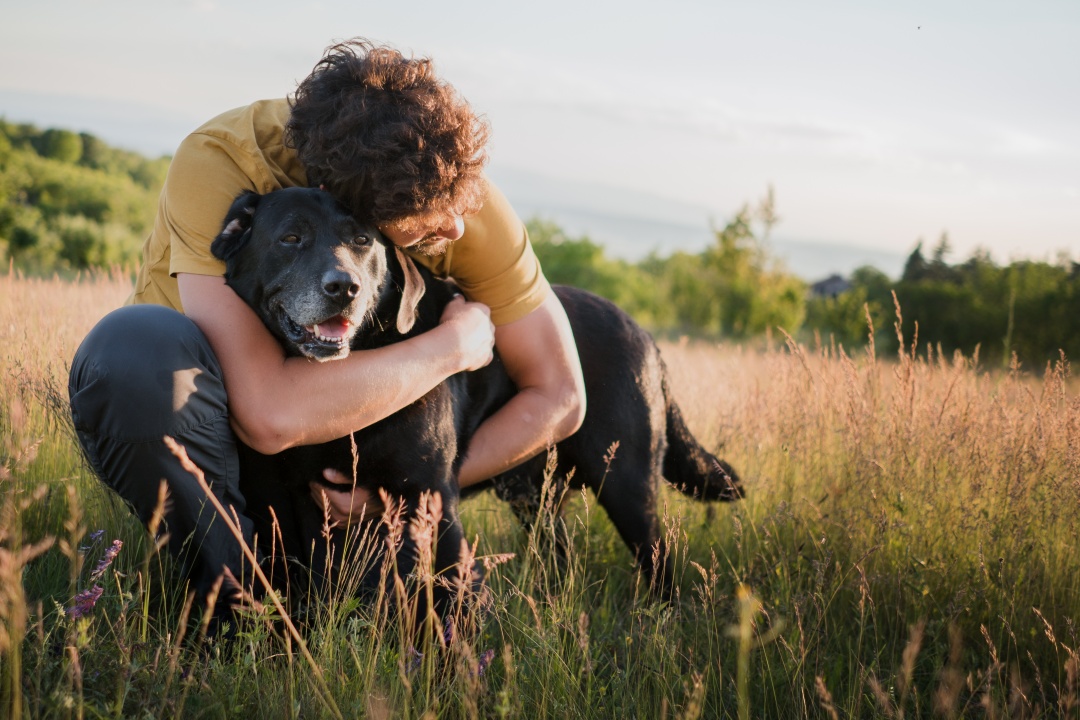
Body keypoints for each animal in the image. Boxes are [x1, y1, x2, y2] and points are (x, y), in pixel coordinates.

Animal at [214, 185, 747, 604]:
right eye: (290, 238)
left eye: (362, 240)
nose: (345, 287)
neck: (342, 384)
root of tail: (644, 334)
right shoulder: (287, 501)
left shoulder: (429, 495)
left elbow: (440, 597)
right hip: (537, 497)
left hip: (628, 485)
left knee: (659, 565)